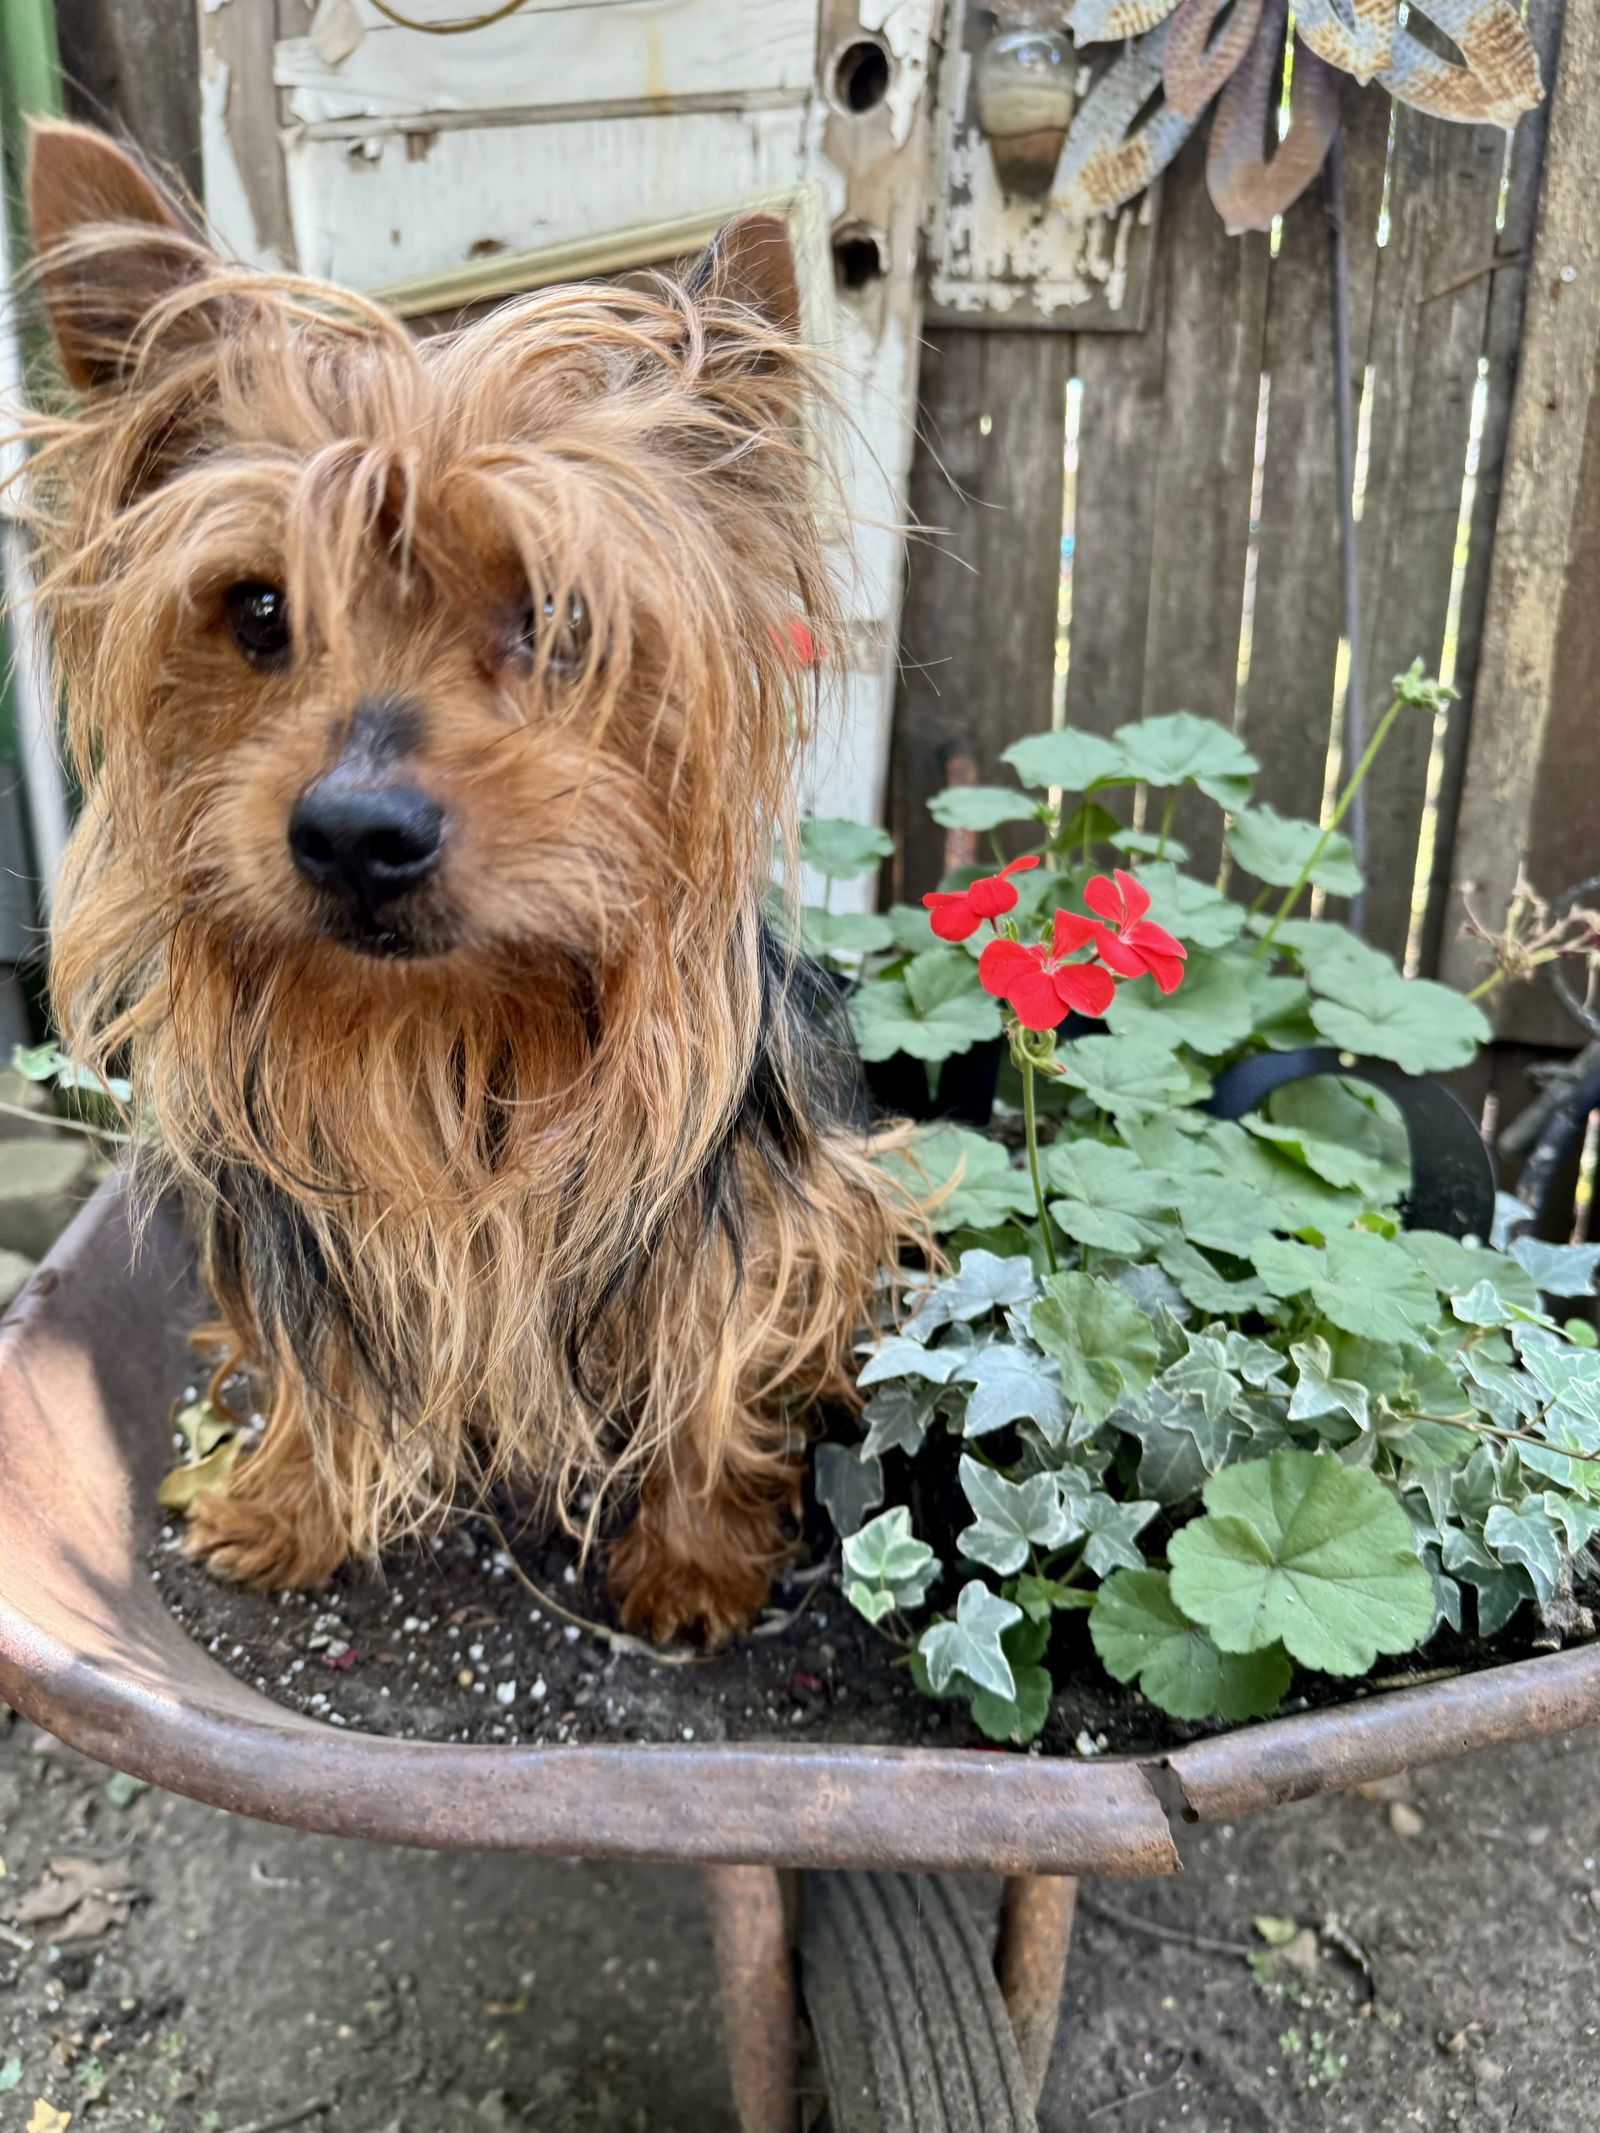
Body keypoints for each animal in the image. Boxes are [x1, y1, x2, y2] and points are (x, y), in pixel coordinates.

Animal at [21, 121, 925, 1646]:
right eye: (259, 609)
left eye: (558, 617)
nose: (352, 833)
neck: (444, 1025)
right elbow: (316, 1363)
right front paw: (291, 1506)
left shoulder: (750, 1218)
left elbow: (711, 1349)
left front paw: (694, 1560)